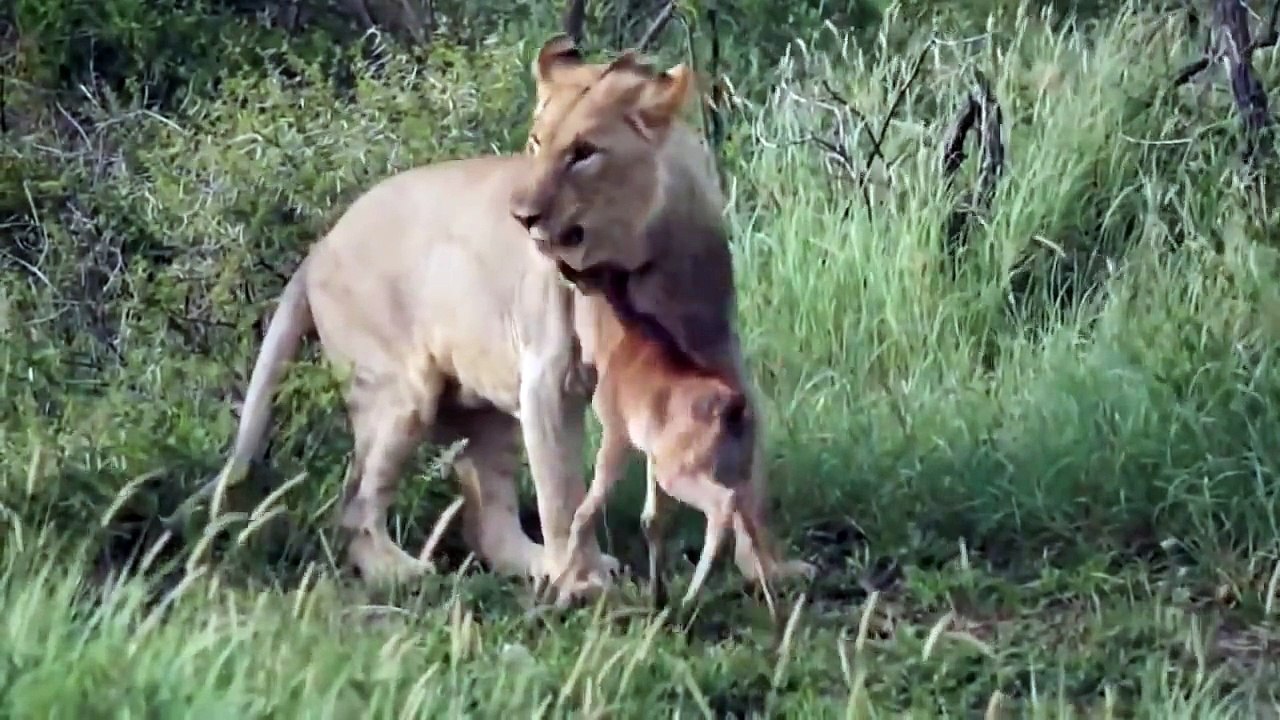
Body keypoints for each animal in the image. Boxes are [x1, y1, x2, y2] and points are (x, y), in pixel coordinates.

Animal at [166, 35, 752, 593]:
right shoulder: (548, 377)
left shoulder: (718, 354)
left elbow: (740, 467)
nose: (522, 215)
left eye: (584, 153)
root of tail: (320, 244)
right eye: (536, 142)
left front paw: (759, 567)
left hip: (488, 403)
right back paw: (403, 574)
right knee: (354, 503)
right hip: (399, 393)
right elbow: (562, 495)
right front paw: (583, 583)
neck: (640, 258)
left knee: (485, 514)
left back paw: (536, 566)